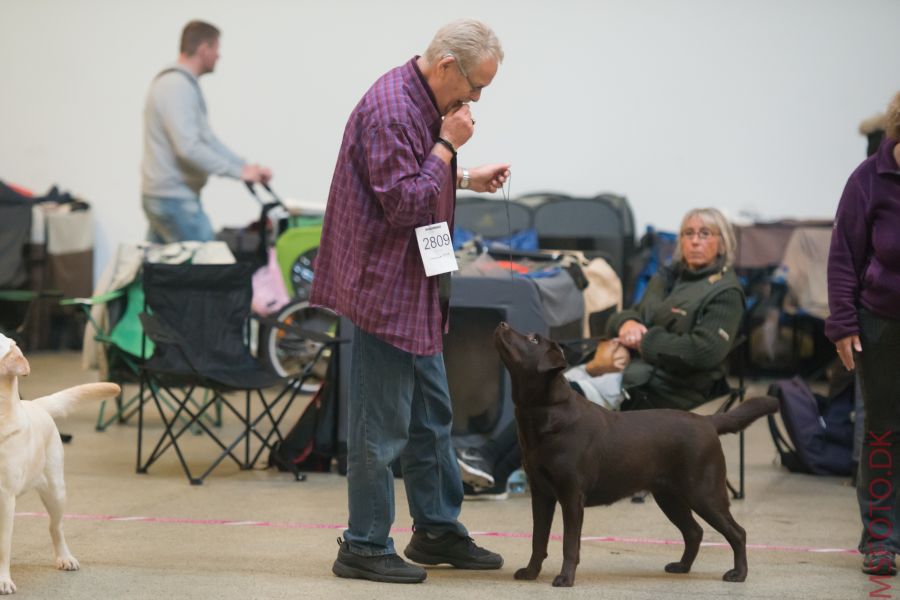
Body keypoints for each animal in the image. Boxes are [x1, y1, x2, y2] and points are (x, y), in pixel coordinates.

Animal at [0, 336, 119, 592]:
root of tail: (37, 404)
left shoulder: (5, 497)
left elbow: (3, 546)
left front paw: (3, 581)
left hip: (56, 491)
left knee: (56, 527)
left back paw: (65, 558)